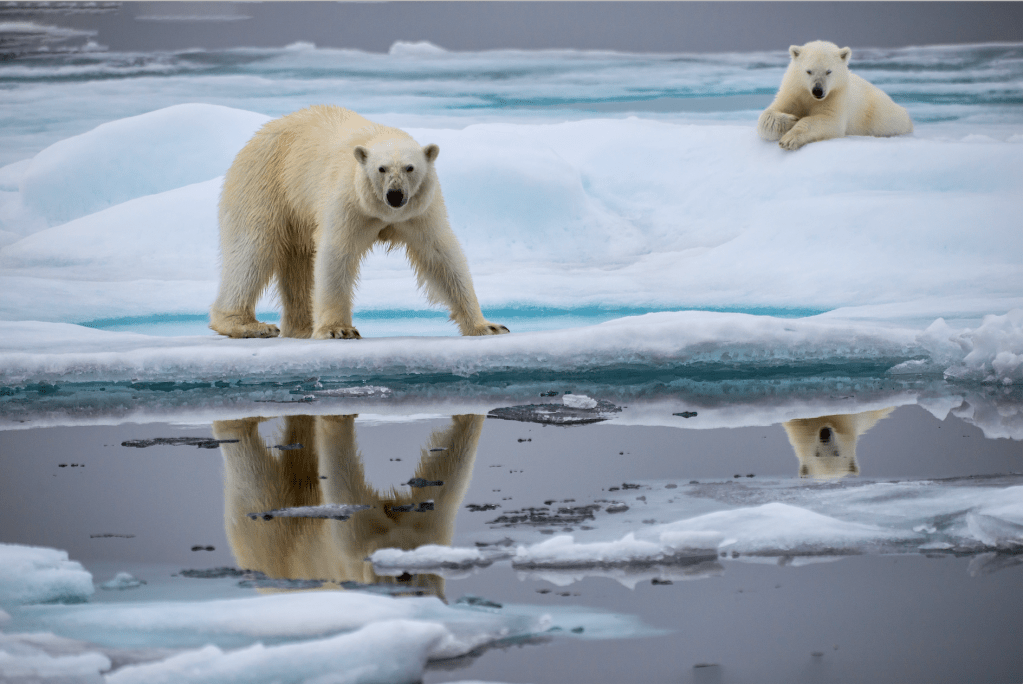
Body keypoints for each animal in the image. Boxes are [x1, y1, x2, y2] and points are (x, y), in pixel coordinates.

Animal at [208, 105, 511, 337]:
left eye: (410, 168)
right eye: (381, 168)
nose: (395, 194)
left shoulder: (420, 212)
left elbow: (441, 256)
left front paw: (487, 326)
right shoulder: (348, 201)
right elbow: (336, 252)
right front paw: (338, 329)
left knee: (297, 265)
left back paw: (300, 327)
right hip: (265, 184)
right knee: (252, 251)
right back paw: (249, 325)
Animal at [761, 40, 912, 150]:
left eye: (828, 71)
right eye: (808, 71)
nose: (818, 91)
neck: (810, 97)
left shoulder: (836, 95)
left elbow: (829, 121)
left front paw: (789, 139)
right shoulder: (793, 92)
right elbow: (768, 115)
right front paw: (791, 120)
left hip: (879, 114)